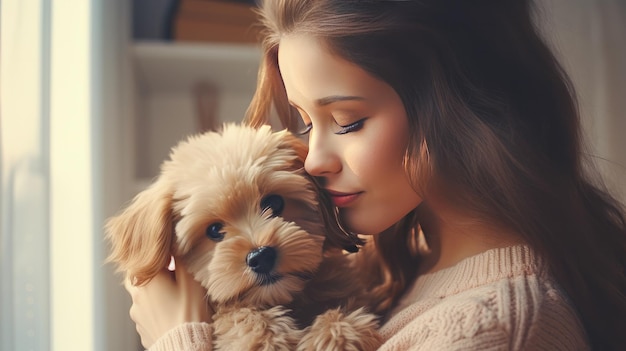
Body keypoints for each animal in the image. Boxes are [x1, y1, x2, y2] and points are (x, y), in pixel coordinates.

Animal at [106, 124, 380, 351]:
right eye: (214, 230)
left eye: (274, 203)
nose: (261, 257)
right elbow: (237, 313)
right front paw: (264, 339)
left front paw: (334, 336)